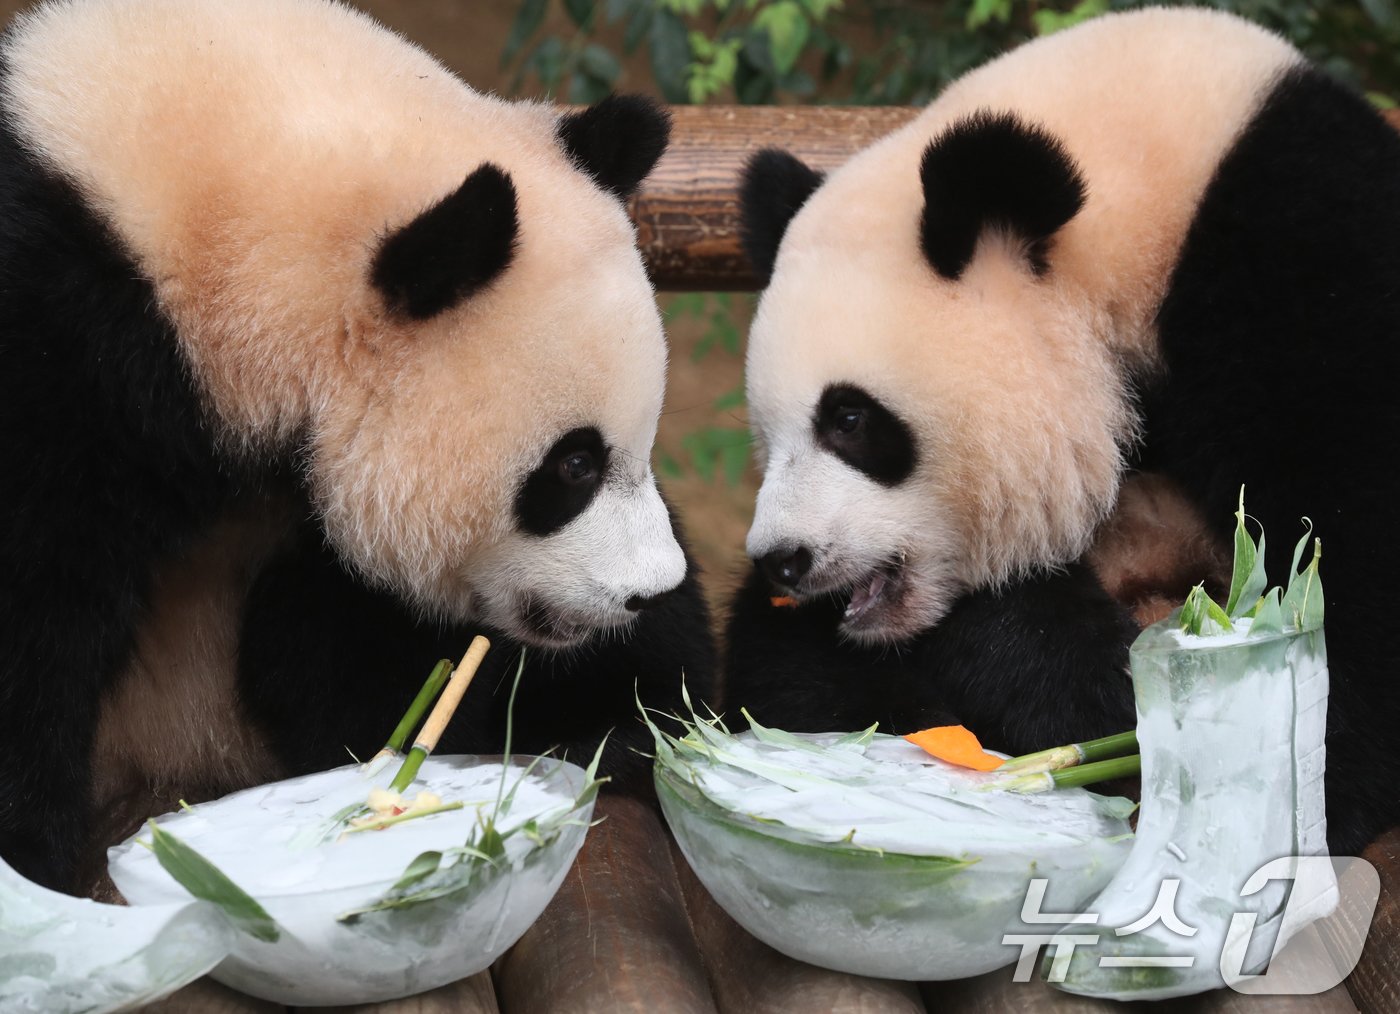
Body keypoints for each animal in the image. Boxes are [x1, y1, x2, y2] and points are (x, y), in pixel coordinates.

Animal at [0, 0, 716, 896]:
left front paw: (613, 720)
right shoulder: (61, 352)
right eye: (573, 466)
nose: (649, 591)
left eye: (638, 443)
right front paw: (31, 863)